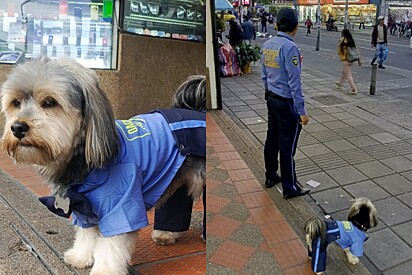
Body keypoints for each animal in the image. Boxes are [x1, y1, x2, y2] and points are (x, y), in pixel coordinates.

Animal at [0, 57, 206, 274]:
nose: (17, 128)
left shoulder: (120, 206)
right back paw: (166, 234)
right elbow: (87, 236)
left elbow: (111, 246)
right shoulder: (82, 206)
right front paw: (81, 257)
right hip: (175, 177)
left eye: (49, 102)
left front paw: (104, 269)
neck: (84, 161)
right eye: (16, 103)